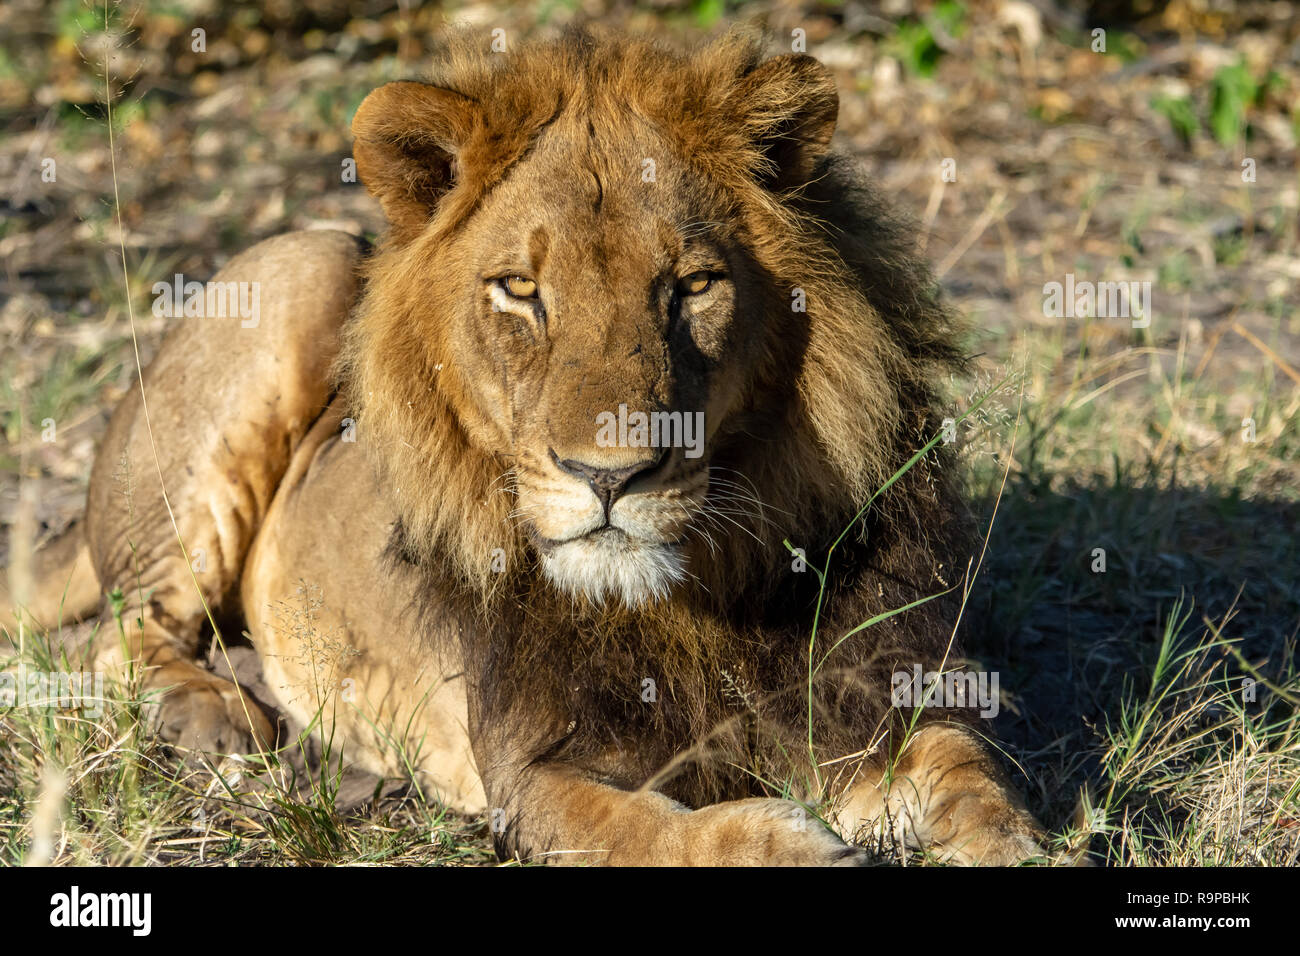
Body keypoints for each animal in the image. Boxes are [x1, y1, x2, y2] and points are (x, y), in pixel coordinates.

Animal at [0, 29, 1040, 868]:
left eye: (693, 285)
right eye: (520, 290)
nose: (610, 477)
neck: (694, 596)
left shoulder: (882, 697)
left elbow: (973, 777)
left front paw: (1011, 842)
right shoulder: (531, 774)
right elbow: (657, 830)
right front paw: (783, 842)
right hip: (301, 267)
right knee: (120, 633)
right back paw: (210, 711)